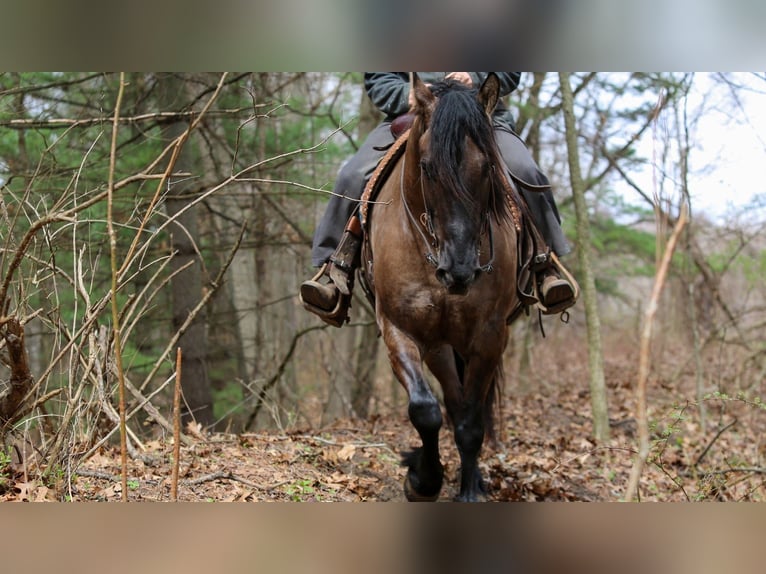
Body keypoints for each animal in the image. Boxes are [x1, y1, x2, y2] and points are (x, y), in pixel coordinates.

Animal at [361, 73, 520, 501]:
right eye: (428, 167)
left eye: (487, 167)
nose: (460, 270)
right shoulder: (400, 328)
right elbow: (426, 410)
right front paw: (422, 479)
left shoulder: (490, 336)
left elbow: (470, 423)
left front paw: (469, 490)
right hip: (438, 346)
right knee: (449, 399)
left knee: (465, 407)